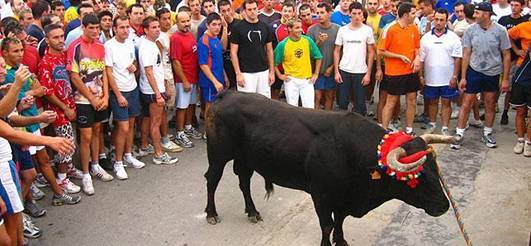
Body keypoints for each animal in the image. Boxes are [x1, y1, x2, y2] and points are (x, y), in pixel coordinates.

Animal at [206, 91, 456, 246]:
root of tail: (228, 94)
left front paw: (342, 240)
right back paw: (212, 214)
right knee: (212, 179)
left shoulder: (343, 198)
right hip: (218, 155)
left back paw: (252, 212)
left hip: (245, 158)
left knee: (244, 181)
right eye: (417, 177)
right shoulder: (321, 195)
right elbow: (327, 225)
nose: (444, 206)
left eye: (436, 170)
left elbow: (340, 220)